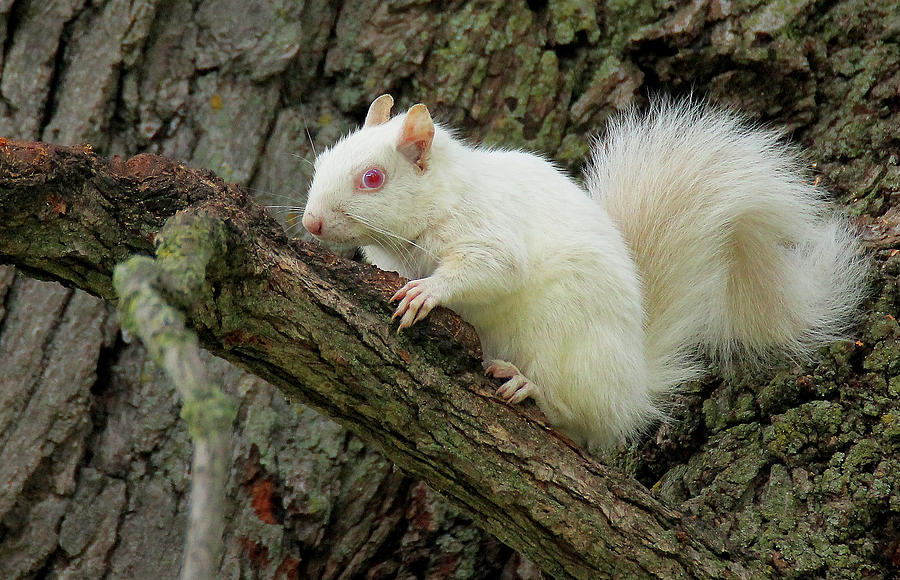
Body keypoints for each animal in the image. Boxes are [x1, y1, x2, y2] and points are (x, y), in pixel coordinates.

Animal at [300, 93, 864, 450]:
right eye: (323, 159)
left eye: (373, 178)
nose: (311, 222)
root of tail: (634, 381)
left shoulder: (488, 228)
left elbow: (491, 268)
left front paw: (427, 292)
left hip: (571, 349)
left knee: (580, 415)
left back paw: (527, 386)